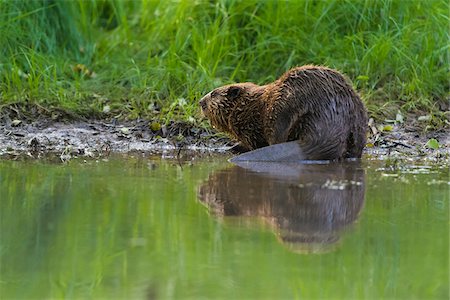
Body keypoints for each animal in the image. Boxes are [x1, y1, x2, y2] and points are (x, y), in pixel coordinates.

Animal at [199, 65, 368, 159]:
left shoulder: (250, 127)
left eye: (213, 93)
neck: (251, 103)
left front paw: (235, 146)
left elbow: (253, 142)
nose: (200, 102)